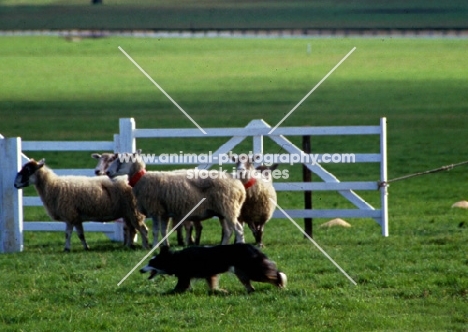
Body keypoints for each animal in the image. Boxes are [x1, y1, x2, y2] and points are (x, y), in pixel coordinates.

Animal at [14, 160, 150, 250]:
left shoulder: (69, 214)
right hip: (128, 212)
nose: (15, 184)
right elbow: (80, 234)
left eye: (28, 170)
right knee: (132, 229)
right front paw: (85, 247)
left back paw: (145, 246)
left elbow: (68, 234)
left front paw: (67, 248)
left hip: (134, 211)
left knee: (142, 229)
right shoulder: (75, 217)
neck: (53, 185)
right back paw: (128, 245)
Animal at [104, 150, 247, 246]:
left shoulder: (155, 210)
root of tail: (239, 185)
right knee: (228, 231)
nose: (108, 172)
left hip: (228, 208)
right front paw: (164, 245)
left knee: (238, 230)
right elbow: (164, 231)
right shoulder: (164, 212)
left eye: (121, 161)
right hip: (221, 211)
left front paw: (154, 246)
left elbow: (156, 231)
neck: (141, 179)